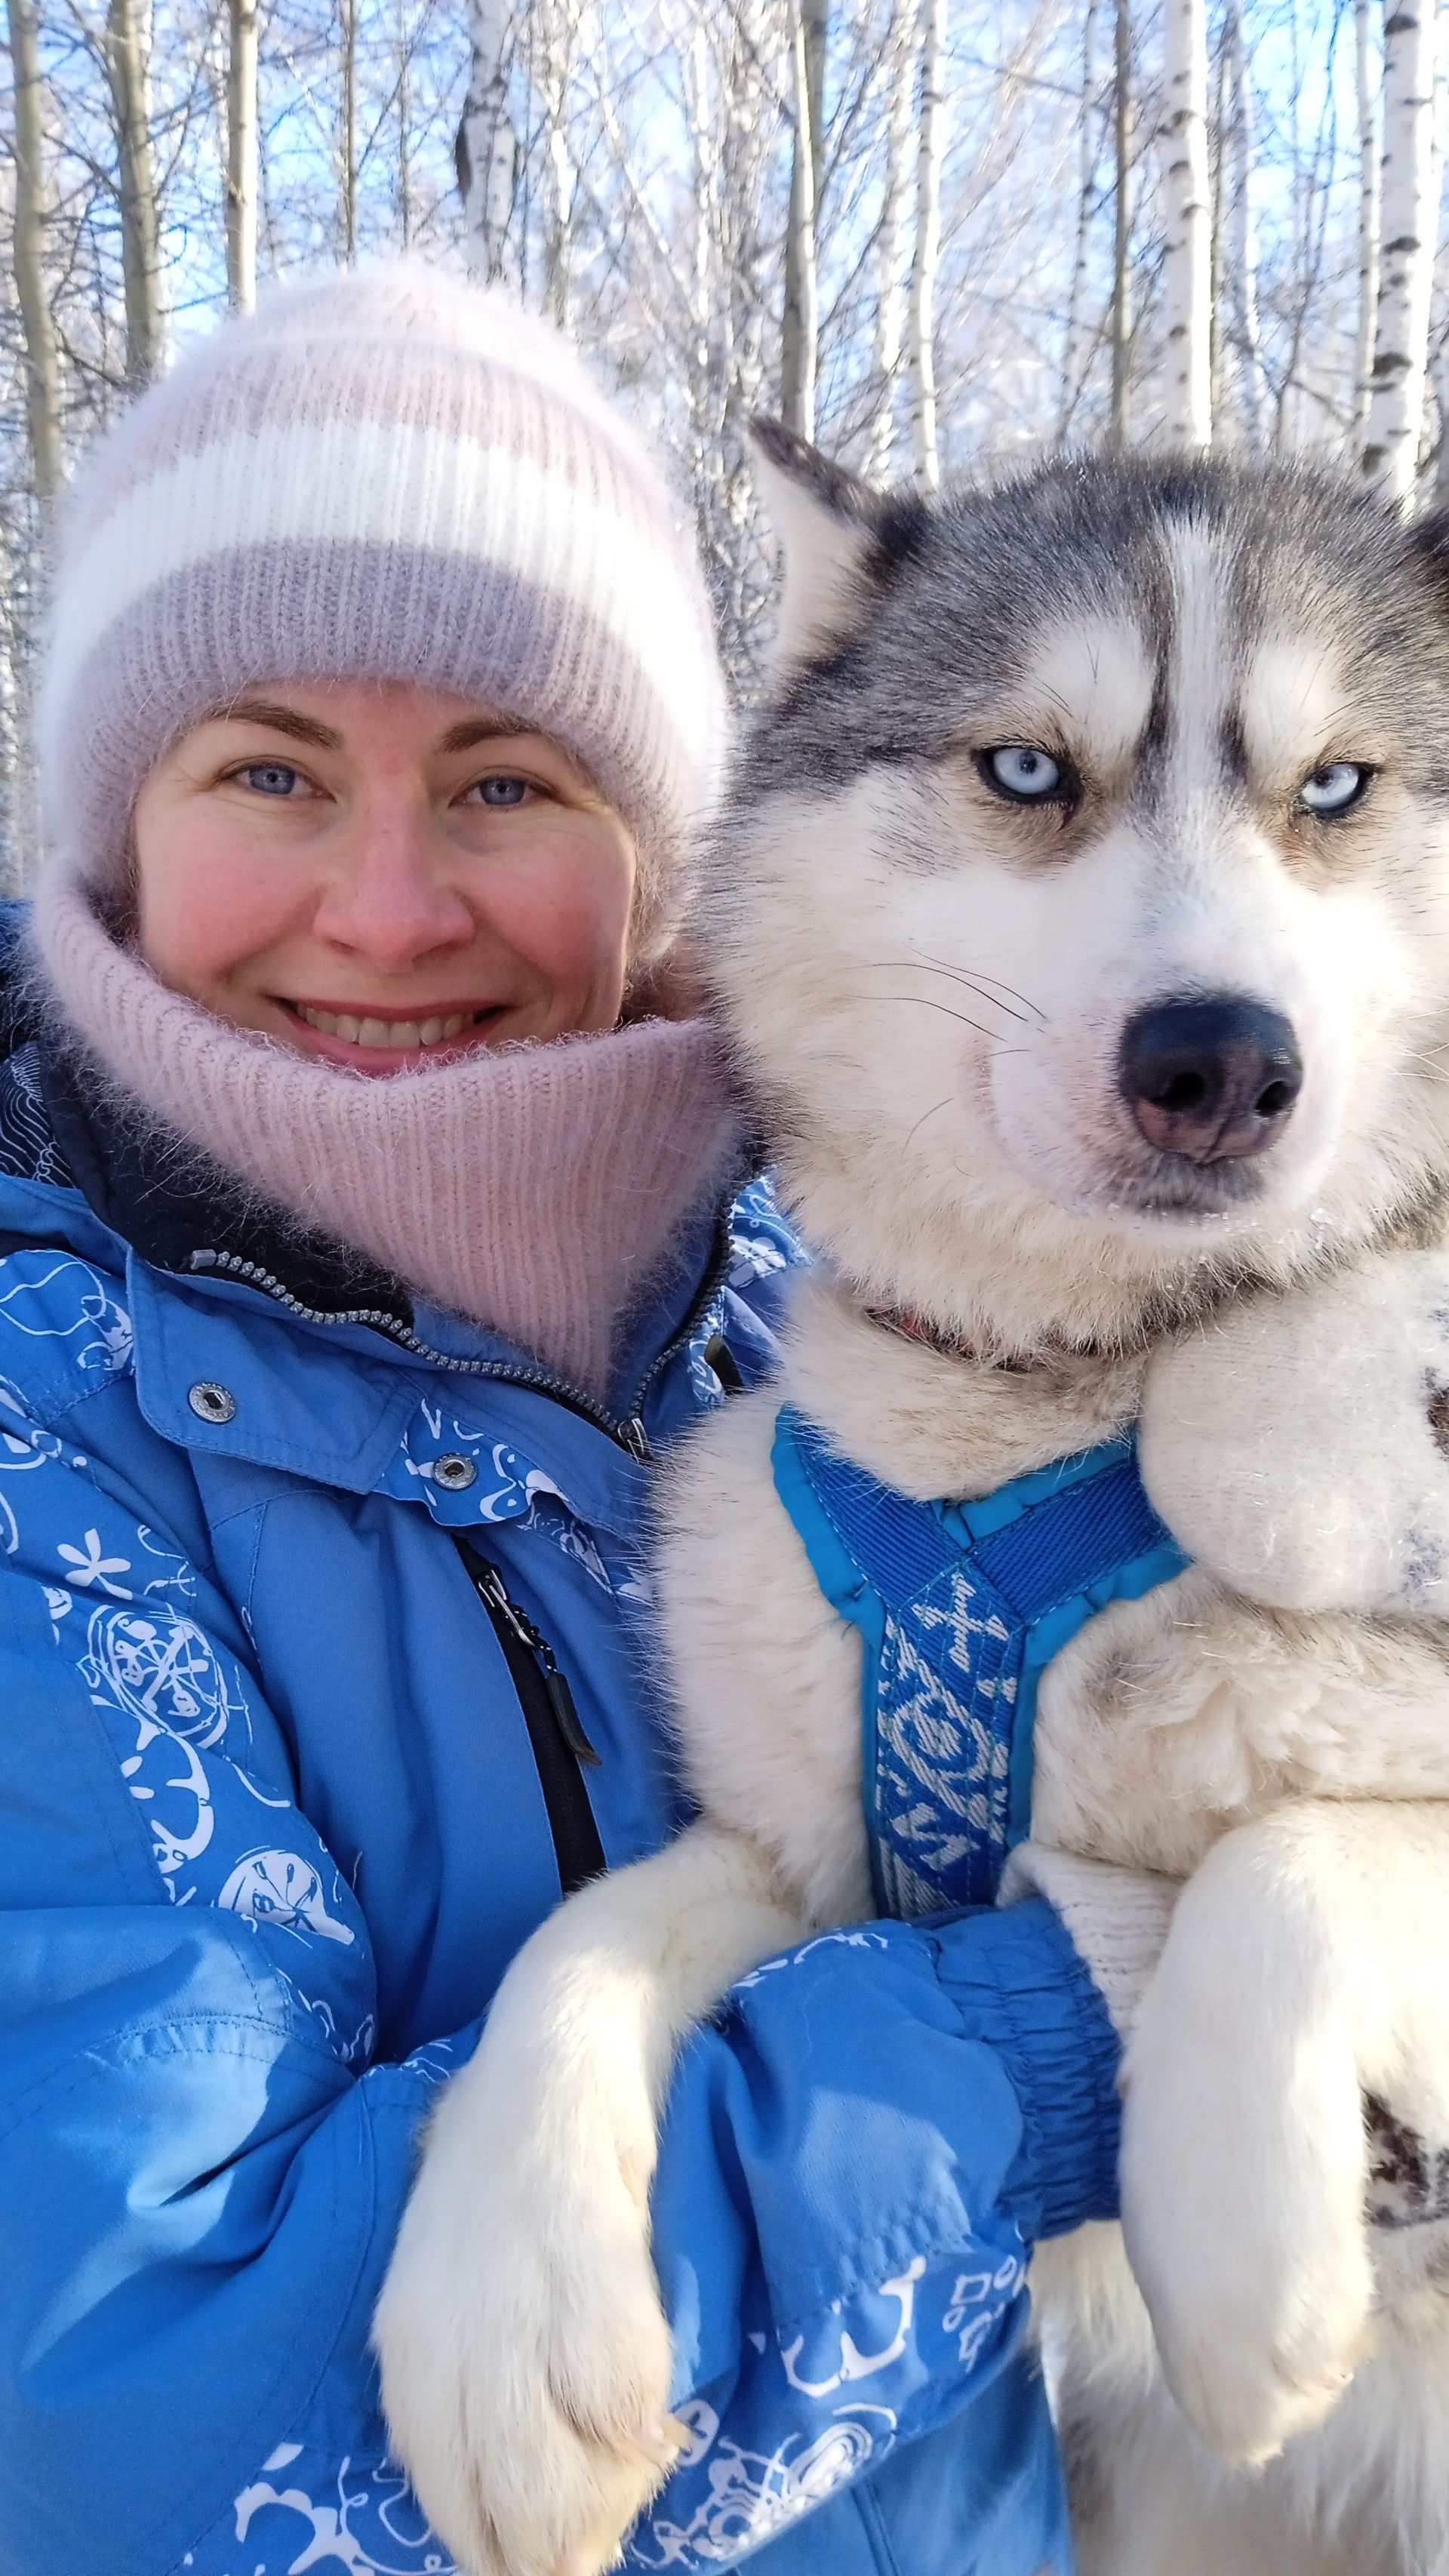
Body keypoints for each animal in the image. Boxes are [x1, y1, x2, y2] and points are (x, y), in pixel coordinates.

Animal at [371, 443, 1449, 2576]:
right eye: (1029, 767)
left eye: (1340, 785)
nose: (1220, 1060)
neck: (1031, 1432)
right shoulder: (804, 1860)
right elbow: (584, 1941)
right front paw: (503, 2304)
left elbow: (1292, 1851)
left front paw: (1238, 2249)